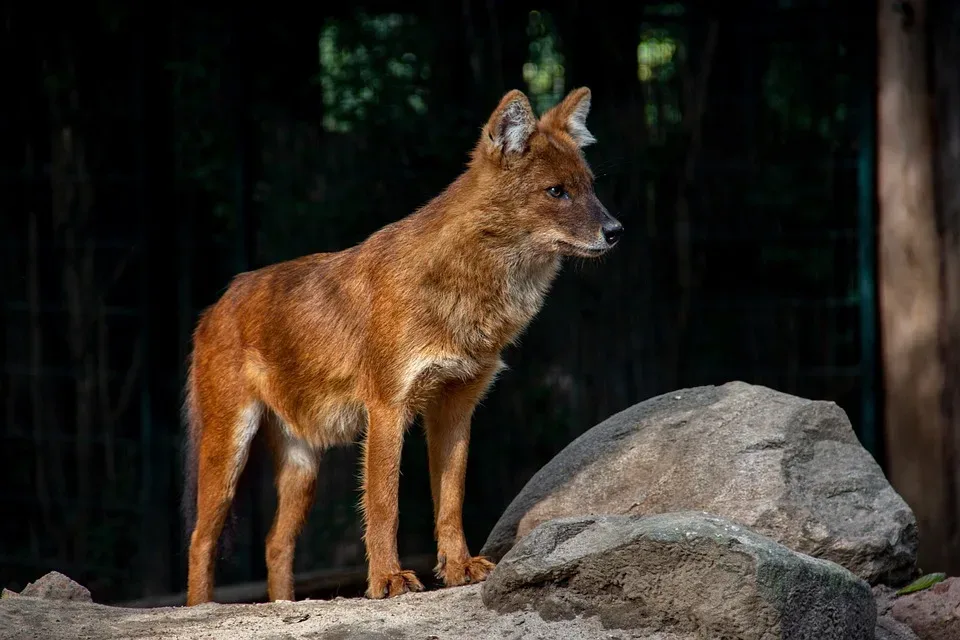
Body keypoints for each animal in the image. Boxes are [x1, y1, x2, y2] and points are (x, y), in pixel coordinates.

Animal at [182, 86, 624, 604]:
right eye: (557, 191)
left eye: (590, 187)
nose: (616, 230)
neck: (469, 290)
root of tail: (216, 304)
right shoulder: (387, 408)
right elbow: (384, 504)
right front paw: (387, 579)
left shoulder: (455, 407)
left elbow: (450, 500)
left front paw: (458, 567)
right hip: (229, 443)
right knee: (201, 538)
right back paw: (199, 608)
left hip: (302, 462)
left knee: (276, 542)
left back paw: (284, 603)